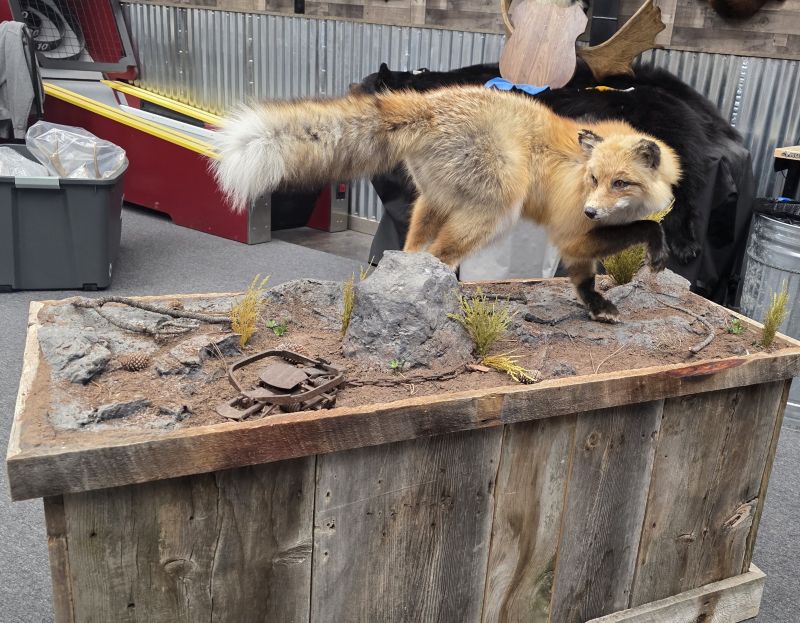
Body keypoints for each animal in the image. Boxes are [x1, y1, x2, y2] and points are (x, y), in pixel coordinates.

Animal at [211, 86, 681, 322]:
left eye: (620, 183)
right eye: (594, 179)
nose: (591, 211)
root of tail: (429, 101)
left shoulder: (576, 240)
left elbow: (583, 280)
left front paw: (596, 306)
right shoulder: (571, 229)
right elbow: (647, 227)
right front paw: (657, 248)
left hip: (433, 202)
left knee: (410, 253)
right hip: (495, 210)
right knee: (438, 256)